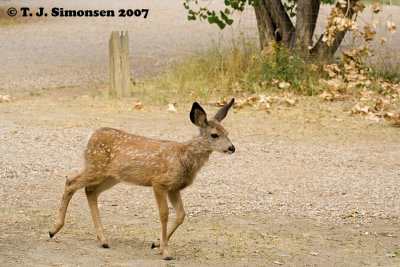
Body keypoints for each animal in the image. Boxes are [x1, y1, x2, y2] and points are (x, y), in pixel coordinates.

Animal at [47, 99, 234, 260]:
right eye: (214, 135)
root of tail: (91, 135)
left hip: (111, 176)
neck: (183, 158)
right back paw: (53, 230)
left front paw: (156, 243)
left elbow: (181, 215)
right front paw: (166, 252)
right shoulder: (158, 181)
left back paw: (103, 240)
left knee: (90, 190)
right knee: (70, 182)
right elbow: (164, 214)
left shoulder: (174, 187)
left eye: (227, 133)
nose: (232, 147)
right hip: (95, 167)